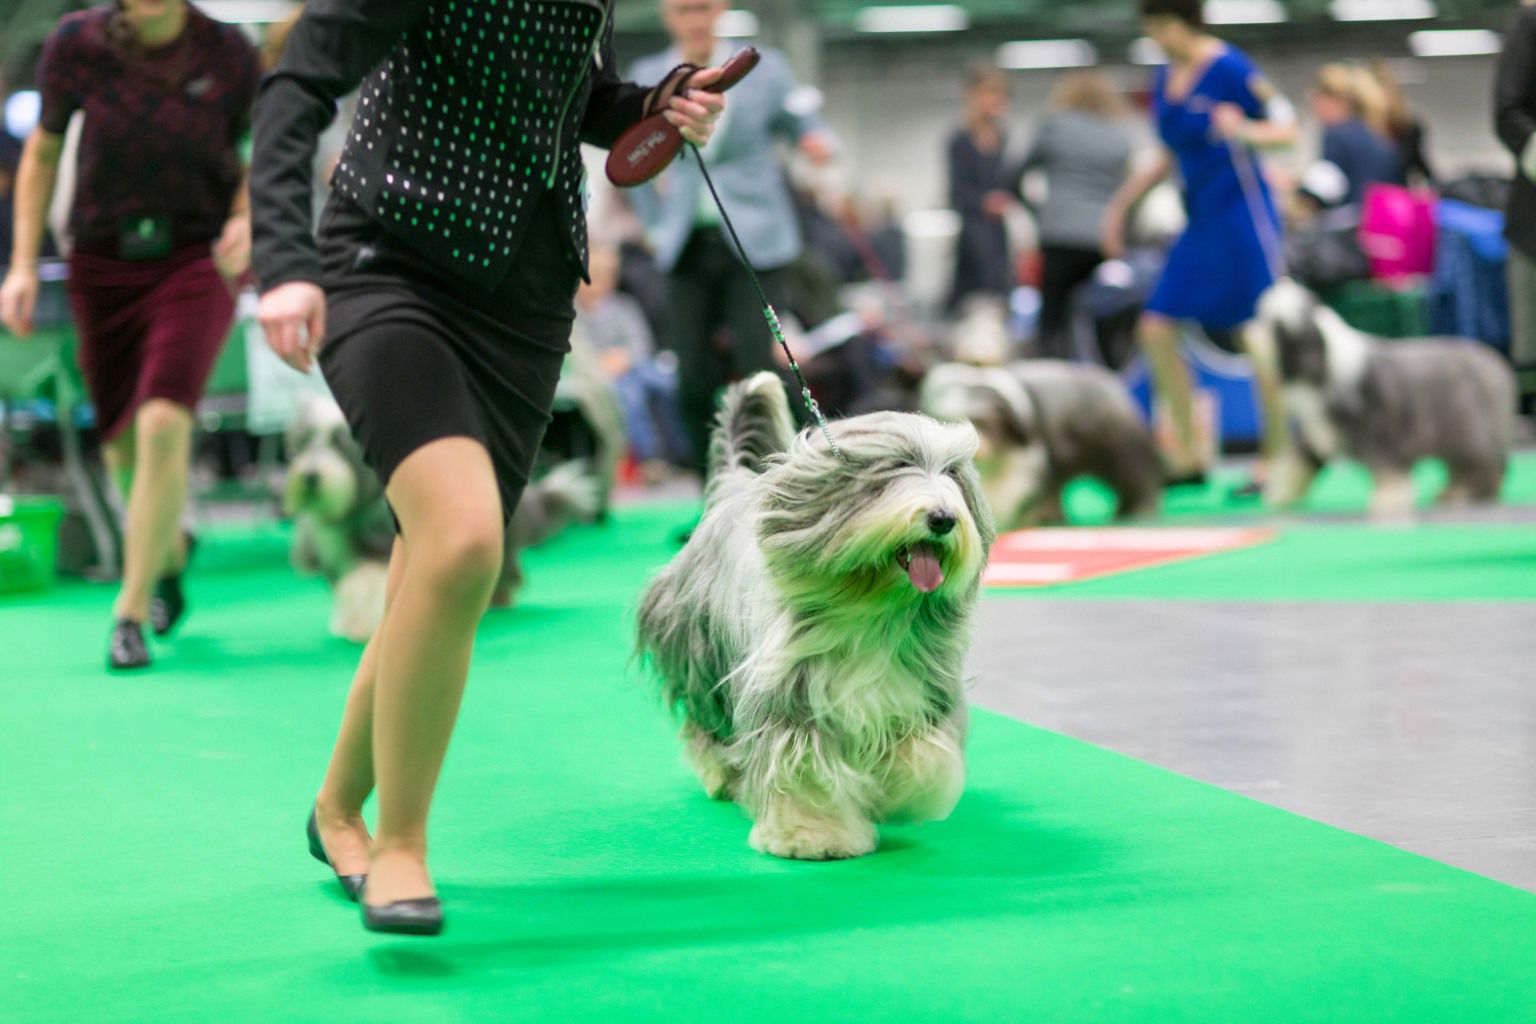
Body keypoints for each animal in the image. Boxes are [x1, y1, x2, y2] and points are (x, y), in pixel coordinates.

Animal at [635, 373, 995, 859]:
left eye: (953, 475)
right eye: (896, 467)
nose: (942, 518)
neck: (871, 608)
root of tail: (732, 486)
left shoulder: (921, 691)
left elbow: (923, 755)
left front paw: (893, 794)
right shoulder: (791, 699)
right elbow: (803, 770)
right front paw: (812, 836)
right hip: (699, 652)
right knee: (708, 725)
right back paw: (722, 776)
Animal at [1253, 277, 1517, 521]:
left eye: (1276, 326)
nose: (1252, 332)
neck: (1327, 362)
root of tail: (1497, 366)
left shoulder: (1380, 435)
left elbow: (1389, 473)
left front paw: (1388, 506)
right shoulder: (1319, 431)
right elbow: (1298, 460)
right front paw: (1280, 494)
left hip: (1467, 432)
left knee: (1481, 466)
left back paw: (1464, 493)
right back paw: (1449, 491)